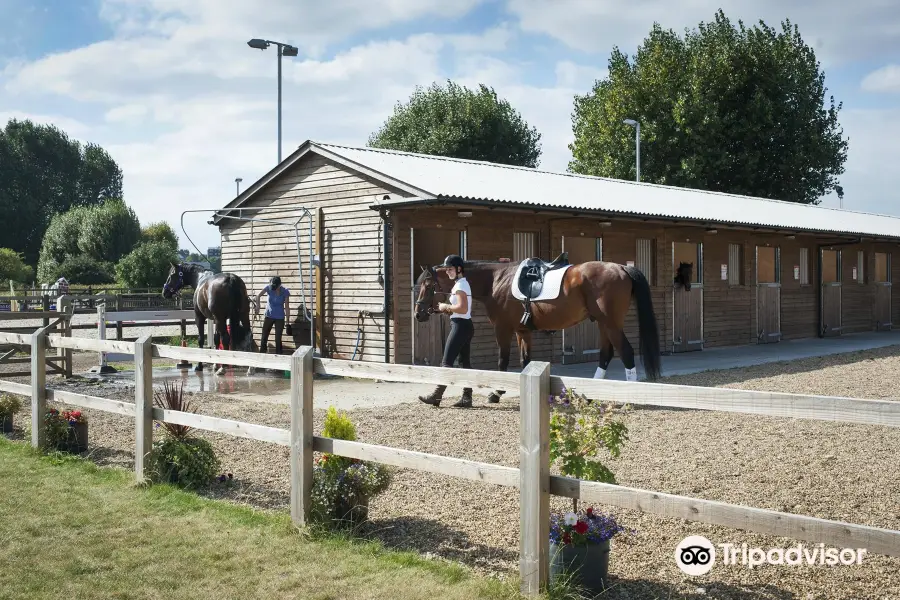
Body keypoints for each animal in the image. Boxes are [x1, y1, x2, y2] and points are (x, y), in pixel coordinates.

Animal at [414, 251, 660, 406]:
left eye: (428, 284)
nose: (418, 314)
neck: (496, 281)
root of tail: (622, 268)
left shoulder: (503, 329)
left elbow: (503, 362)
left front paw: (496, 393)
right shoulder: (522, 331)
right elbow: (525, 361)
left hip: (610, 323)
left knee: (626, 352)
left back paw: (630, 398)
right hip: (603, 323)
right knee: (606, 354)